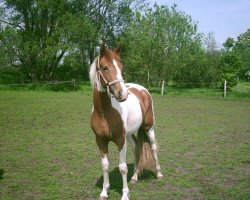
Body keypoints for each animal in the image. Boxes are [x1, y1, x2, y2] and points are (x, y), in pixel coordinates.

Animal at [89, 42, 163, 200]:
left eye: (121, 67)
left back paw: (159, 174)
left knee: (153, 148)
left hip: (148, 128)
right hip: (129, 134)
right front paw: (104, 192)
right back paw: (134, 177)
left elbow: (122, 168)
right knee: (137, 148)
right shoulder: (100, 140)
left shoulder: (120, 140)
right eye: (104, 67)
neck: (104, 112)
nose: (122, 94)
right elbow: (105, 165)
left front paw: (124, 194)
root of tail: (142, 89)